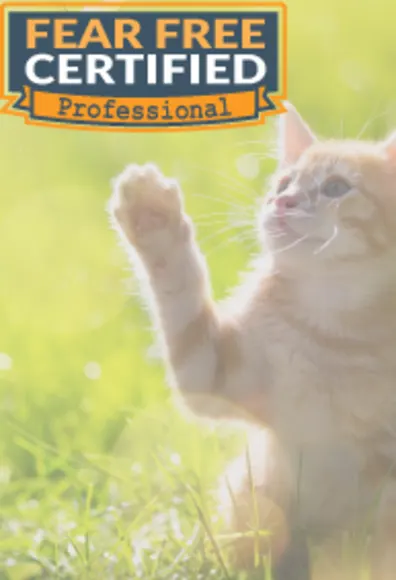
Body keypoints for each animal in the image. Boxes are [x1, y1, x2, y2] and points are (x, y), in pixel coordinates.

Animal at [108, 105, 396, 580]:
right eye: (282, 184)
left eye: (336, 187)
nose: (281, 202)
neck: (333, 329)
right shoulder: (211, 372)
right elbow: (181, 300)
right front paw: (153, 219)